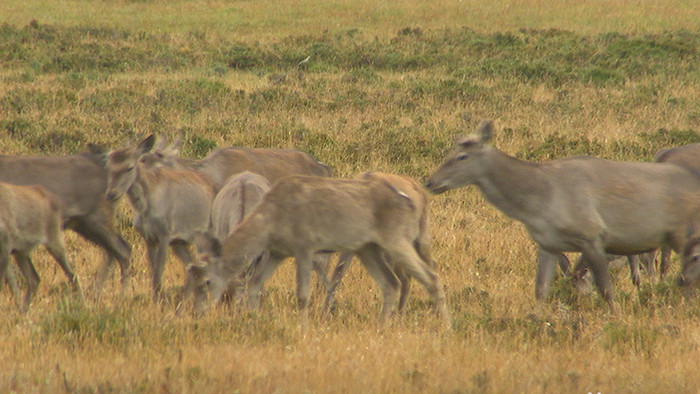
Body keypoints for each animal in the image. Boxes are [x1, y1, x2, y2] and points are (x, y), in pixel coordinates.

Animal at [0, 182, 85, 310]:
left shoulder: (5, 246)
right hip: (21, 252)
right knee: (34, 279)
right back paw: (24, 309)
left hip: (54, 242)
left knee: (72, 274)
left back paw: (84, 305)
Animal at [104, 135, 217, 302]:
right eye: (108, 167)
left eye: (130, 167)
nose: (111, 194)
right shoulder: (149, 238)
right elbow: (153, 273)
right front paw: (155, 299)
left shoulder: (165, 234)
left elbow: (158, 274)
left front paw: (158, 300)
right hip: (180, 243)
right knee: (194, 268)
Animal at [186, 175, 452, 326]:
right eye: (189, 280)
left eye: (207, 281)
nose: (195, 314)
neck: (270, 219)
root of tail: (415, 199)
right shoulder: (278, 252)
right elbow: (255, 284)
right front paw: (254, 321)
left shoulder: (305, 246)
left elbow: (303, 295)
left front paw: (302, 329)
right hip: (368, 248)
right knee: (391, 283)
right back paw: (382, 328)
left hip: (396, 240)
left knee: (430, 276)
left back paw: (445, 327)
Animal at [424, 120, 700, 310]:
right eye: (448, 152)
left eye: (462, 156)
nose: (430, 182)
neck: (539, 203)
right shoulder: (547, 244)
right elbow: (540, 289)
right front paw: (535, 322)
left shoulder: (592, 236)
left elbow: (606, 290)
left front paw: (616, 318)